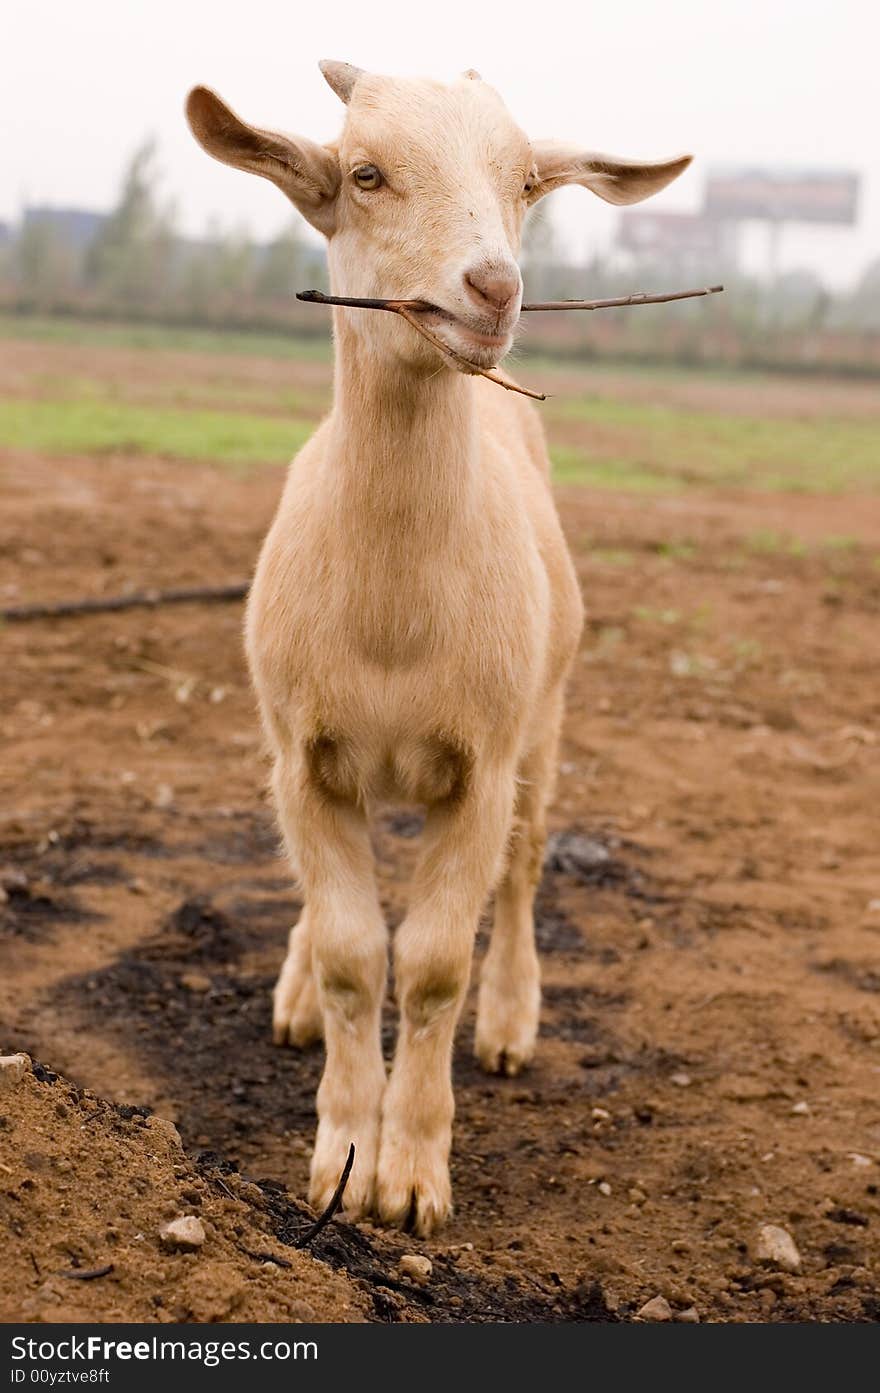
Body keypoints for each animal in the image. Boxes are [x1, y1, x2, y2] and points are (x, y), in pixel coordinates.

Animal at [187, 65, 693, 1236]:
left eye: (527, 183)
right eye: (365, 174)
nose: (493, 289)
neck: (394, 623)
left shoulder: (483, 763)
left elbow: (426, 966)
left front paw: (410, 1172)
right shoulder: (305, 757)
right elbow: (348, 953)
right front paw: (341, 1152)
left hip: (546, 719)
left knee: (525, 864)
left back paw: (511, 1017)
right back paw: (291, 993)